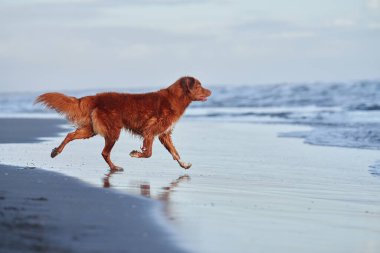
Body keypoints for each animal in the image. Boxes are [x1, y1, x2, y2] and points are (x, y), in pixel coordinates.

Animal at [36, 77, 211, 171]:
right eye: (199, 86)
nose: (211, 91)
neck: (175, 98)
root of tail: (94, 97)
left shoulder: (164, 134)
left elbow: (175, 153)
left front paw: (184, 164)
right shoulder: (150, 131)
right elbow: (148, 153)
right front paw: (135, 153)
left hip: (91, 130)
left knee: (70, 135)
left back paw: (56, 151)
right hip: (113, 131)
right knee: (104, 152)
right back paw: (114, 167)